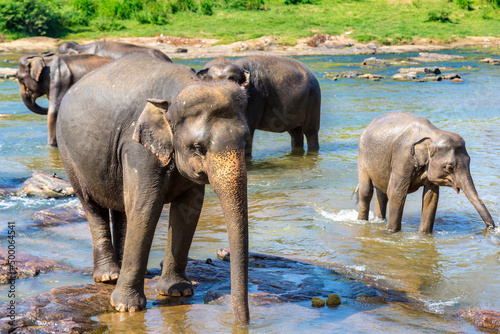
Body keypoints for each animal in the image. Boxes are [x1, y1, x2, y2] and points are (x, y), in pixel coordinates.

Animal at [55, 54, 250, 324]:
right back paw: (108, 276)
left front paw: (178, 291)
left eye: (246, 140)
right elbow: (146, 207)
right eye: (198, 148)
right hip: (69, 156)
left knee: (122, 209)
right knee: (92, 205)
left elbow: (188, 211)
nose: (244, 323)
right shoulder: (136, 147)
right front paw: (126, 307)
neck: (180, 89)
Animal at [358, 111, 494, 232]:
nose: (491, 227)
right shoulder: (403, 158)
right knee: (366, 192)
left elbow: (431, 197)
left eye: (469, 161)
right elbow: (396, 193)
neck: (433, 134)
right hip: (362, 159)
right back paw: (362, 222)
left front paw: (424, 234)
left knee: (382, 193)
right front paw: (392, 232)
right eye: (449, 167)